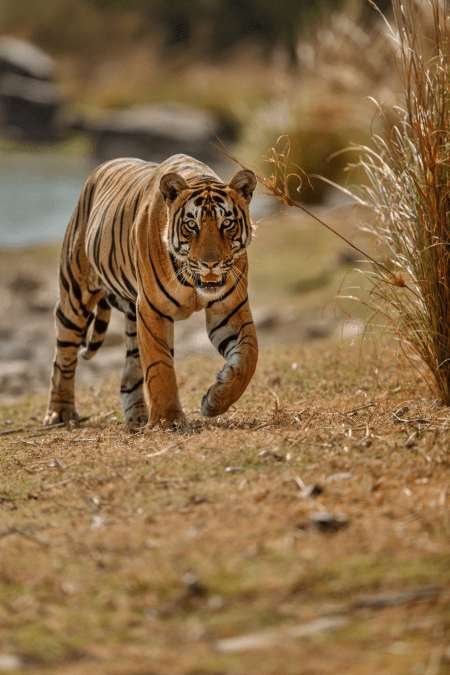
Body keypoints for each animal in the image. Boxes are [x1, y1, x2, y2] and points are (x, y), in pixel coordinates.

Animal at [43, 154, 258, 431]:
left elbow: (249, 355)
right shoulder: (151, 309)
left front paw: (215, 400)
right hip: (74, 295)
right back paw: (59, 413)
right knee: (63, 357)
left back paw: (137, 417)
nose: (210, 264)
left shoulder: (229, 309)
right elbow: (159, 365)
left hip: (131, 317)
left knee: (128, 373)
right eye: (192, 225)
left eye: (227, 224)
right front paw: (168, 420)